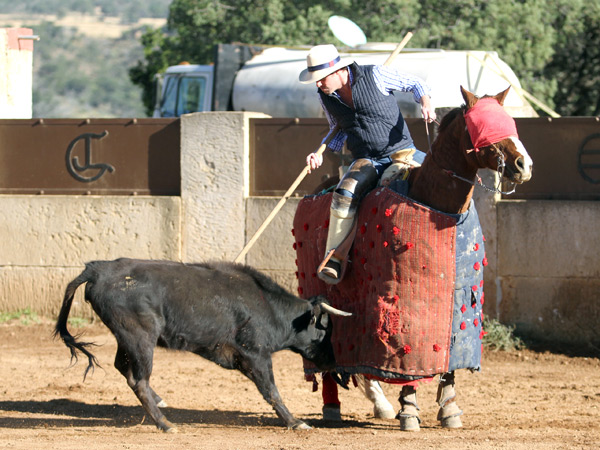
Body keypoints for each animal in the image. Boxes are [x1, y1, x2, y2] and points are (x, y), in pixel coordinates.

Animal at [55, 258, 352, 430]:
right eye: (324, 329)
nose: (334, 362)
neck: (268, 306)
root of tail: (97, 269)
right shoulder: (256, 354)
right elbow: (271, 390)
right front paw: (295, 422)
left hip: (128, 338)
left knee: (125, 368)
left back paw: (160, 403)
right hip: (140, 337)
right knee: (139, 380)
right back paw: (165, 424)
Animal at [292, 86, 532, 430]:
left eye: (508, 122)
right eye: (482, 126)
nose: (524, 165)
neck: (434, 201)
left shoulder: (457, 300)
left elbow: (448, 356)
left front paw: (449, 409)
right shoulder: (401, 302)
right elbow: (405, 356)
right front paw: (408, 410)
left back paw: (379, 404)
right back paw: (333, 406)